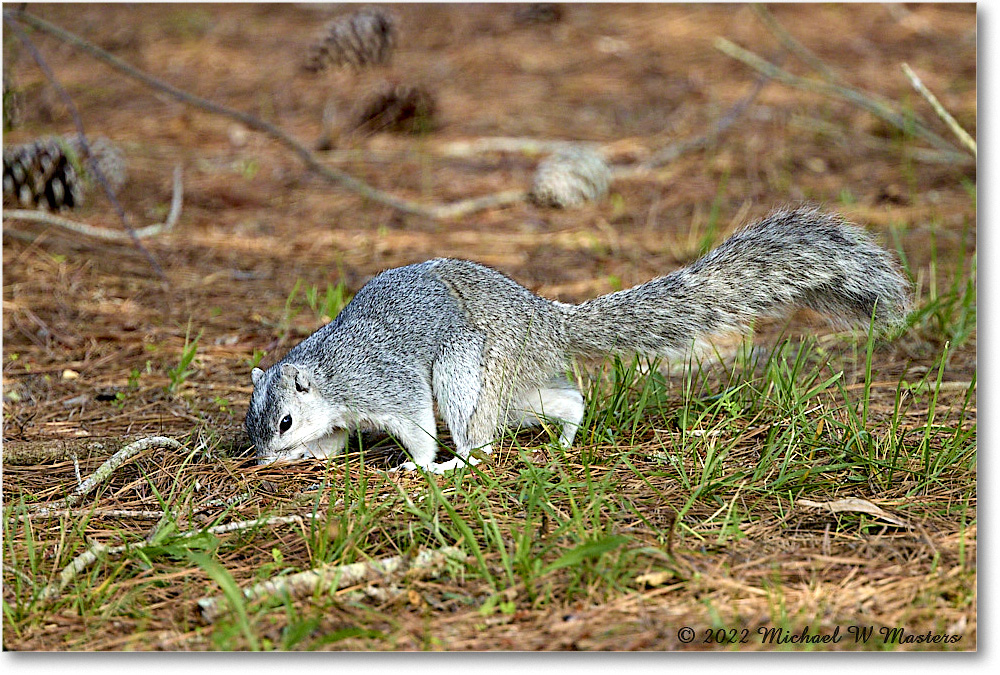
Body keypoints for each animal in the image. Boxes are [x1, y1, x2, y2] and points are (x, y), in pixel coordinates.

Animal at [246, 207, 912, 476]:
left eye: (282, 421)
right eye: (255, 424)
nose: (255, 456)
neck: (327, 375)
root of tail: (544, 320)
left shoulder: (386, 386)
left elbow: (413, 425)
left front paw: (419, 464)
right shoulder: (340, 418)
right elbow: (331, 445)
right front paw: (297, 461)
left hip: (468, 372)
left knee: (481, 437)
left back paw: (457, 463)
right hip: (512, 383)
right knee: (564, 400)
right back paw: (567, 439)